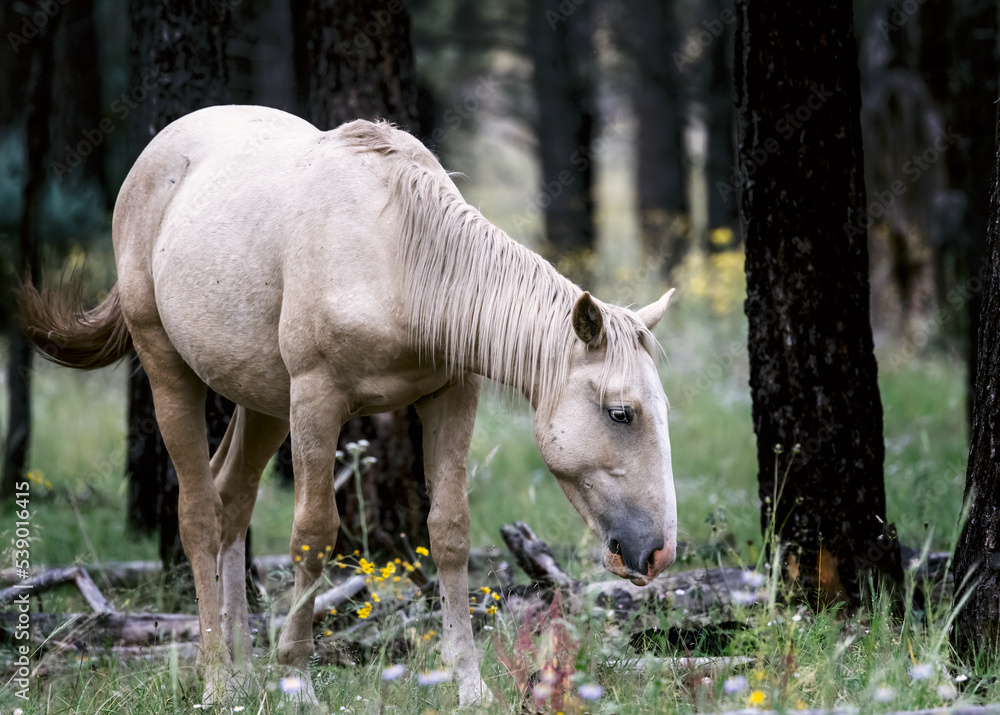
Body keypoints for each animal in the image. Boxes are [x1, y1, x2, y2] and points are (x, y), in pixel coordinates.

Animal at [18, 105, 678, 706]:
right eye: (621, 413)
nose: (658, 552)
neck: (400, 259)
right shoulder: (317, 400)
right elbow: (313, 535)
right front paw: (297, 680)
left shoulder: (450, 398)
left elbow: (450, 532)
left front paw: (470, 686)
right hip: (170, 370)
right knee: (200, 515)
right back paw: (217, 680)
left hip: (263, 401)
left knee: (232, 500)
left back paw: (244, 671)